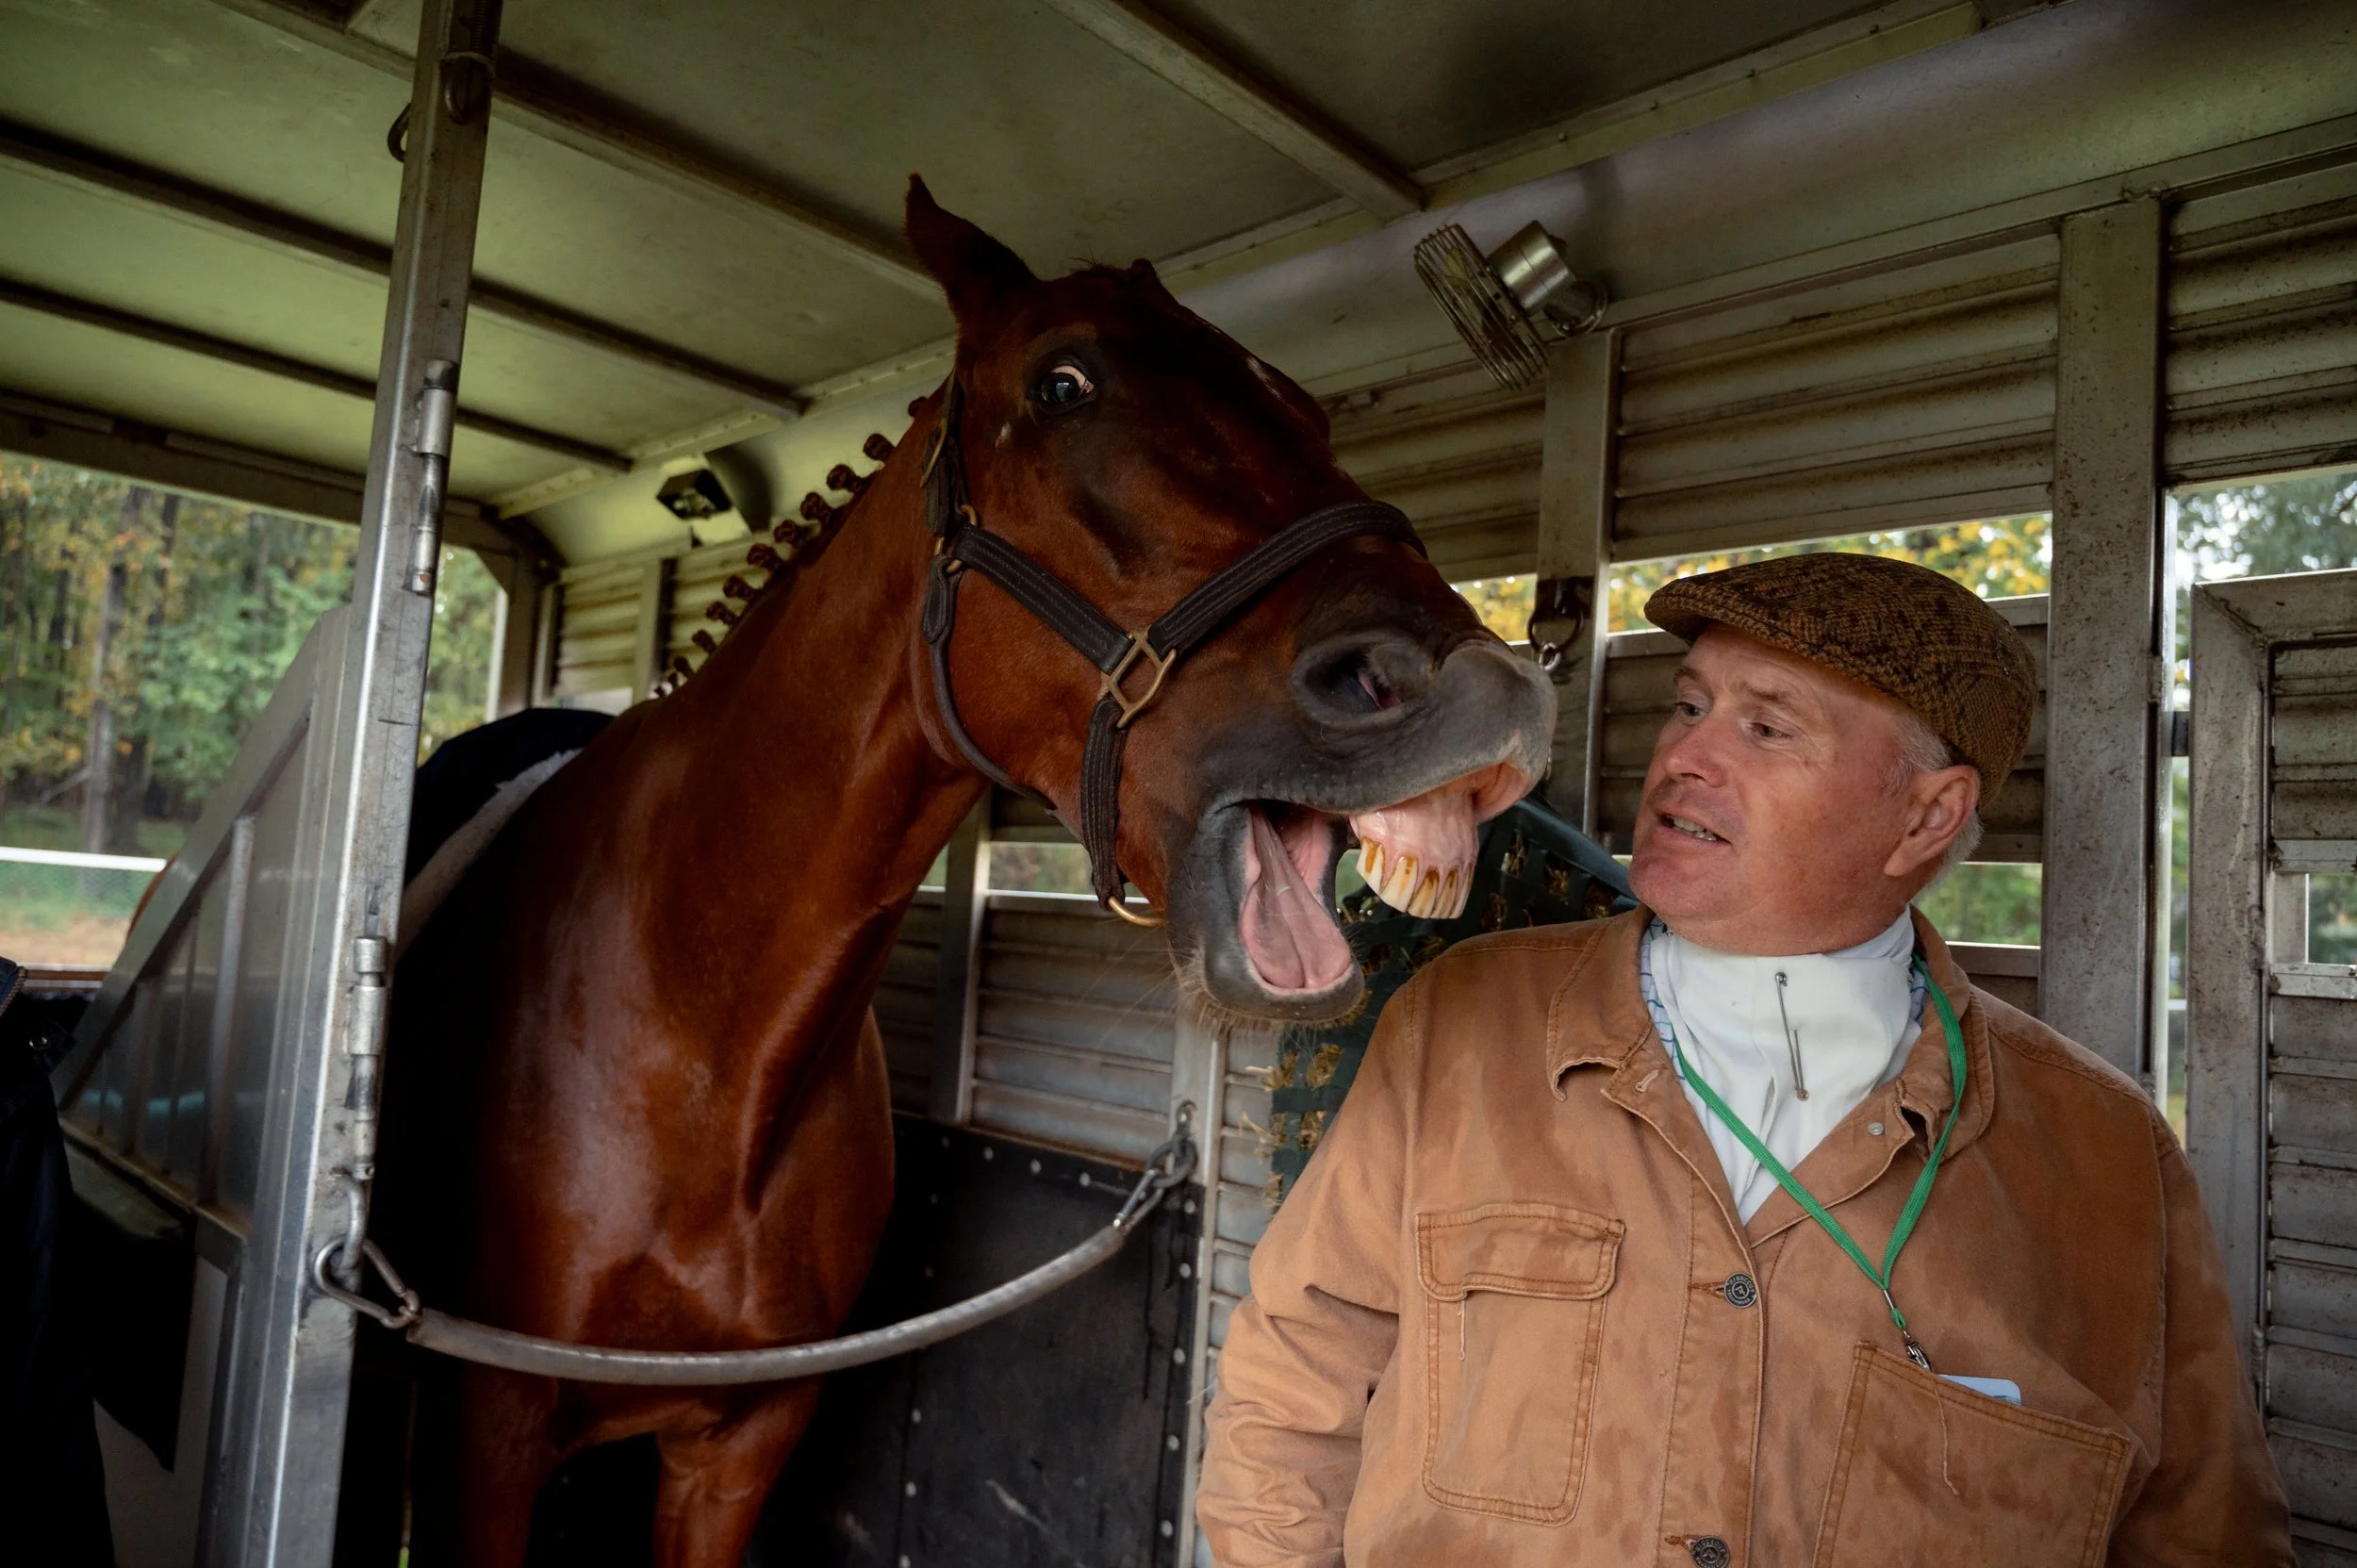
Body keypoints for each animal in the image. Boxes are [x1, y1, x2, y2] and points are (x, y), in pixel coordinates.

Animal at [378, 178, 1553, 1566]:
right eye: (1062, 385)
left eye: (1307, 410)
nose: (1479, 680)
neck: (695, 1026)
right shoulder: (479, 1442)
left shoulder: (736, 1448)